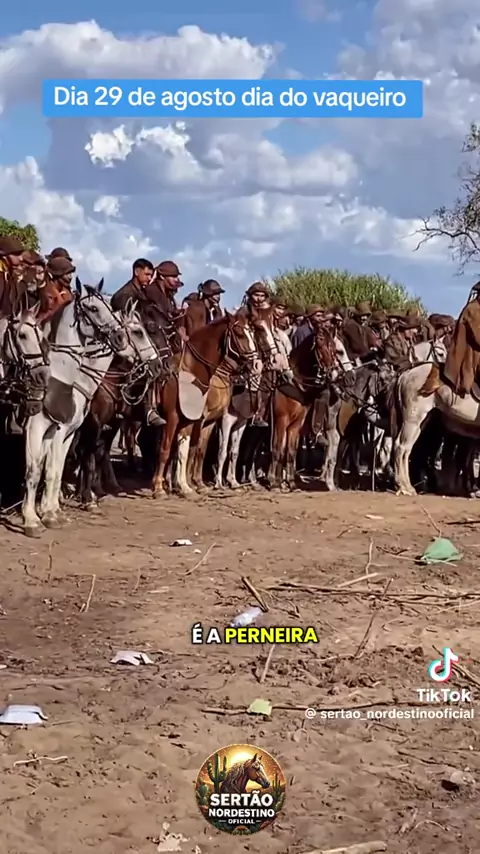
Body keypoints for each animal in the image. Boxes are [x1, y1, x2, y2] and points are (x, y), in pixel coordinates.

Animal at [21, 279, 144, 536]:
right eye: (94, 308)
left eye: (109, 308)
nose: (120, 338)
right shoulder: (43, 428)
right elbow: (39, 470)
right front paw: (34, 518)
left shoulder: (69, 431)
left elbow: (55, 469)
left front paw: (51, 512)